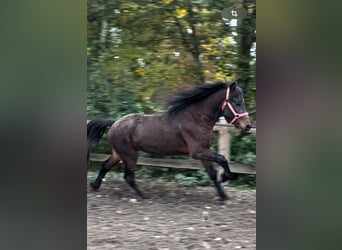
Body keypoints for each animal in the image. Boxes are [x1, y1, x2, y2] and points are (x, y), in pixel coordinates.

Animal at [87, 82, 250, 201]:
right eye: (237, 102)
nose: (247, 126)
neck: (196, 118)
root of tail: (114, 123)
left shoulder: (203, 152)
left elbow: (212, 174)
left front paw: (223, 195)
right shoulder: (198, 152)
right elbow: (222, 159)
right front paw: (228, 177)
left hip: (118, 153)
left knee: (106, 166)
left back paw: (94, 185)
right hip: (129, 155)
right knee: (128, 176)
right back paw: (144, 195)